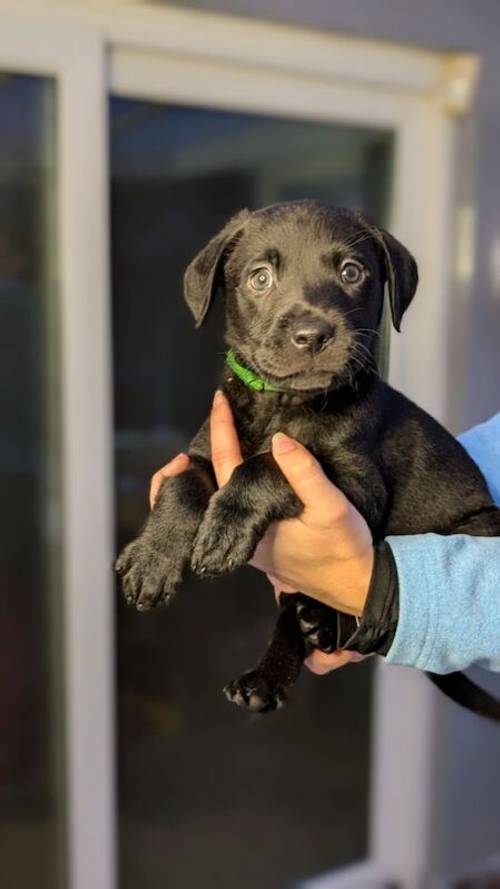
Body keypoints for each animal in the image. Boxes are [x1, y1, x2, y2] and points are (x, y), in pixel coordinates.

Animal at [115, 203, 500, 720]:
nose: (312, 335)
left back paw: (324, 621)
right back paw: (269, 673)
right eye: (260, 278)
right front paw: (152, 560)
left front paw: (224, 527)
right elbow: (183, 484)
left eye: (352, 272)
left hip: (479, 524)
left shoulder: (357, 484)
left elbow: (265, 466)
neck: (284, 403)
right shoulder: (203, 453)